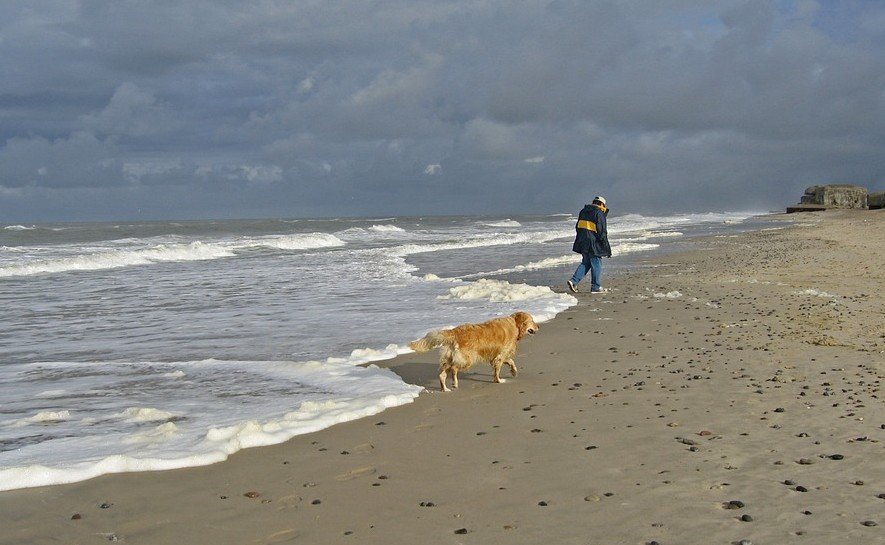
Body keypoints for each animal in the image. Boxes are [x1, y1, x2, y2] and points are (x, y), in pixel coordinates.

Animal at [408, 310, 540, 392]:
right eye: (532, 320)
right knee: (454, 368)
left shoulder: (498, 355)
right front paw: (498, 380)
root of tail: (455, 331)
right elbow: (498, 369)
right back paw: (454, 383)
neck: (515, 324)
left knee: (442, 374)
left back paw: (445, 388)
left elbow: (510, 361)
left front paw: (513, 372)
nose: (538, 326)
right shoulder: (500, 355)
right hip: (468, 358)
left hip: (449, 357)